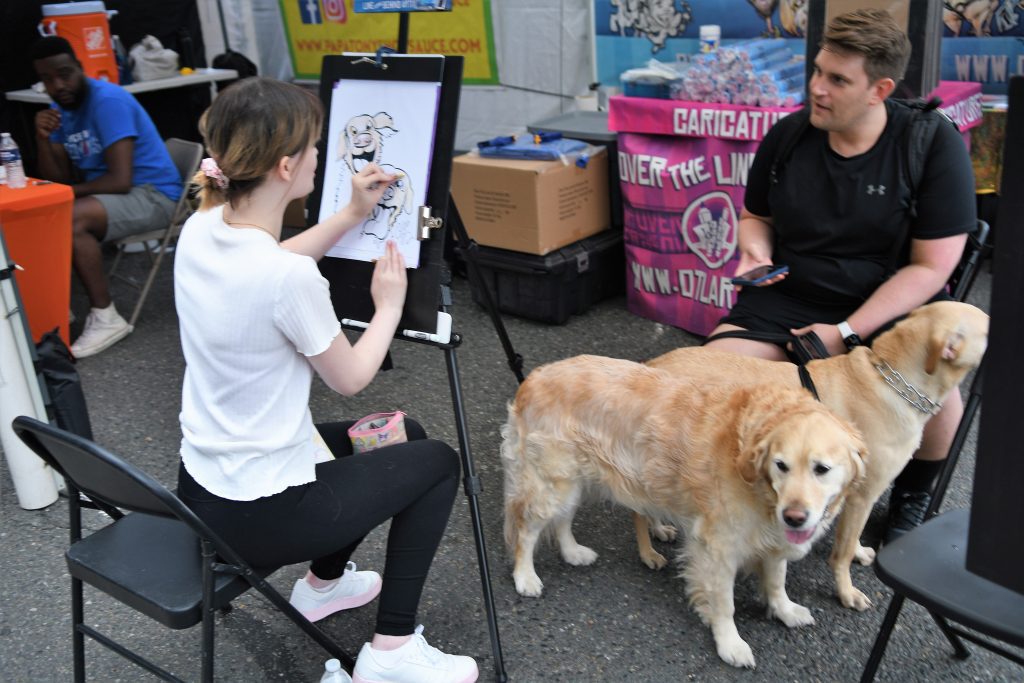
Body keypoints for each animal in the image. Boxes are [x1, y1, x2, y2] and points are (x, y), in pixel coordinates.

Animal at [503, 358, 864, 667]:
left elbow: (777, 580)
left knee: (563, 519)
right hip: (552, 482)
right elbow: (725, 603)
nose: (794, 517)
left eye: (821, 469)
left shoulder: (774, 538)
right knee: (526, 530)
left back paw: (573, 552)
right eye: (781, 465)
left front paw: (785, 611)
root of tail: (533, 377)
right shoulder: (718, 547)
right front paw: (730, 644)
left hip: (574, 480)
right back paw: (525, 576)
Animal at [647, 301, 991, 610]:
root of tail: (653, 364)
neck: (889, 380)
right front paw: (846, 591)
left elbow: (851, 541)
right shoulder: (863, 495)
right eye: (991, 328)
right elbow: (841, 553)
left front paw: (860, 552)